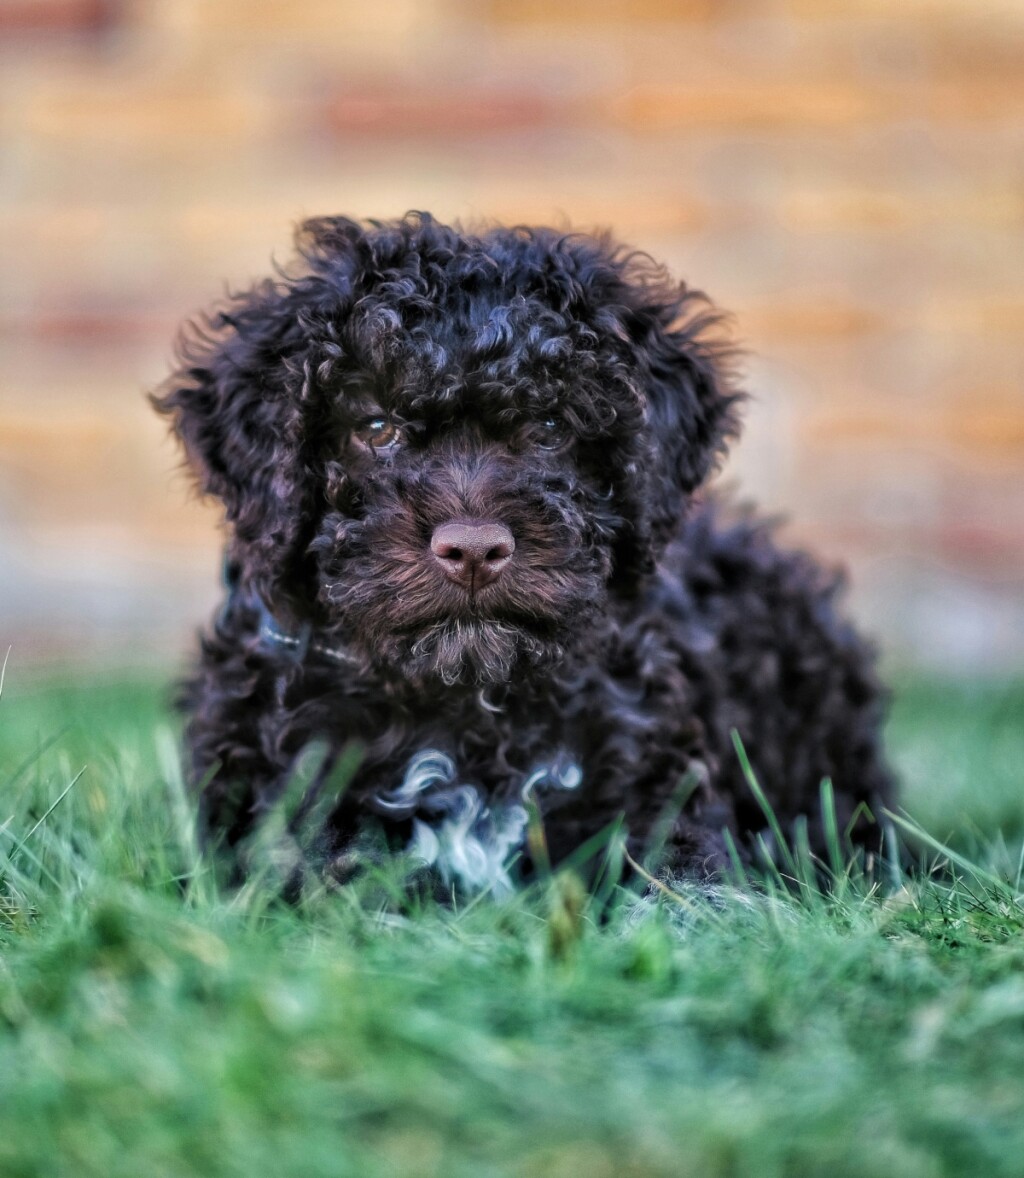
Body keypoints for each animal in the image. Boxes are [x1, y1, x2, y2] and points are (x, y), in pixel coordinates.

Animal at [154, 212, 895, 890]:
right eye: (376, 426)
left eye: (549, 427)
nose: (473, 549)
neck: (464, 707)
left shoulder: (655, 790)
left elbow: (678, 884)